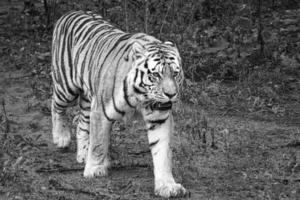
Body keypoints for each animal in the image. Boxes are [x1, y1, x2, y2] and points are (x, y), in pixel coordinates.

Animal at [51, 10, 186, 197]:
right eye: (155, 75)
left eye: (175, 73)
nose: (171, 94)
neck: (140, 97)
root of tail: (71, 12)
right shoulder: (100, 111)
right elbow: (98, 143)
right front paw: (95, 169)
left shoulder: (159, 118)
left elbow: (163, 152)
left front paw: (167, 185)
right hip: (66, 87)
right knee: (56, 106)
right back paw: (61, 137)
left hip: (88, 100)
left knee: (81, 123)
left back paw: (83, 154)